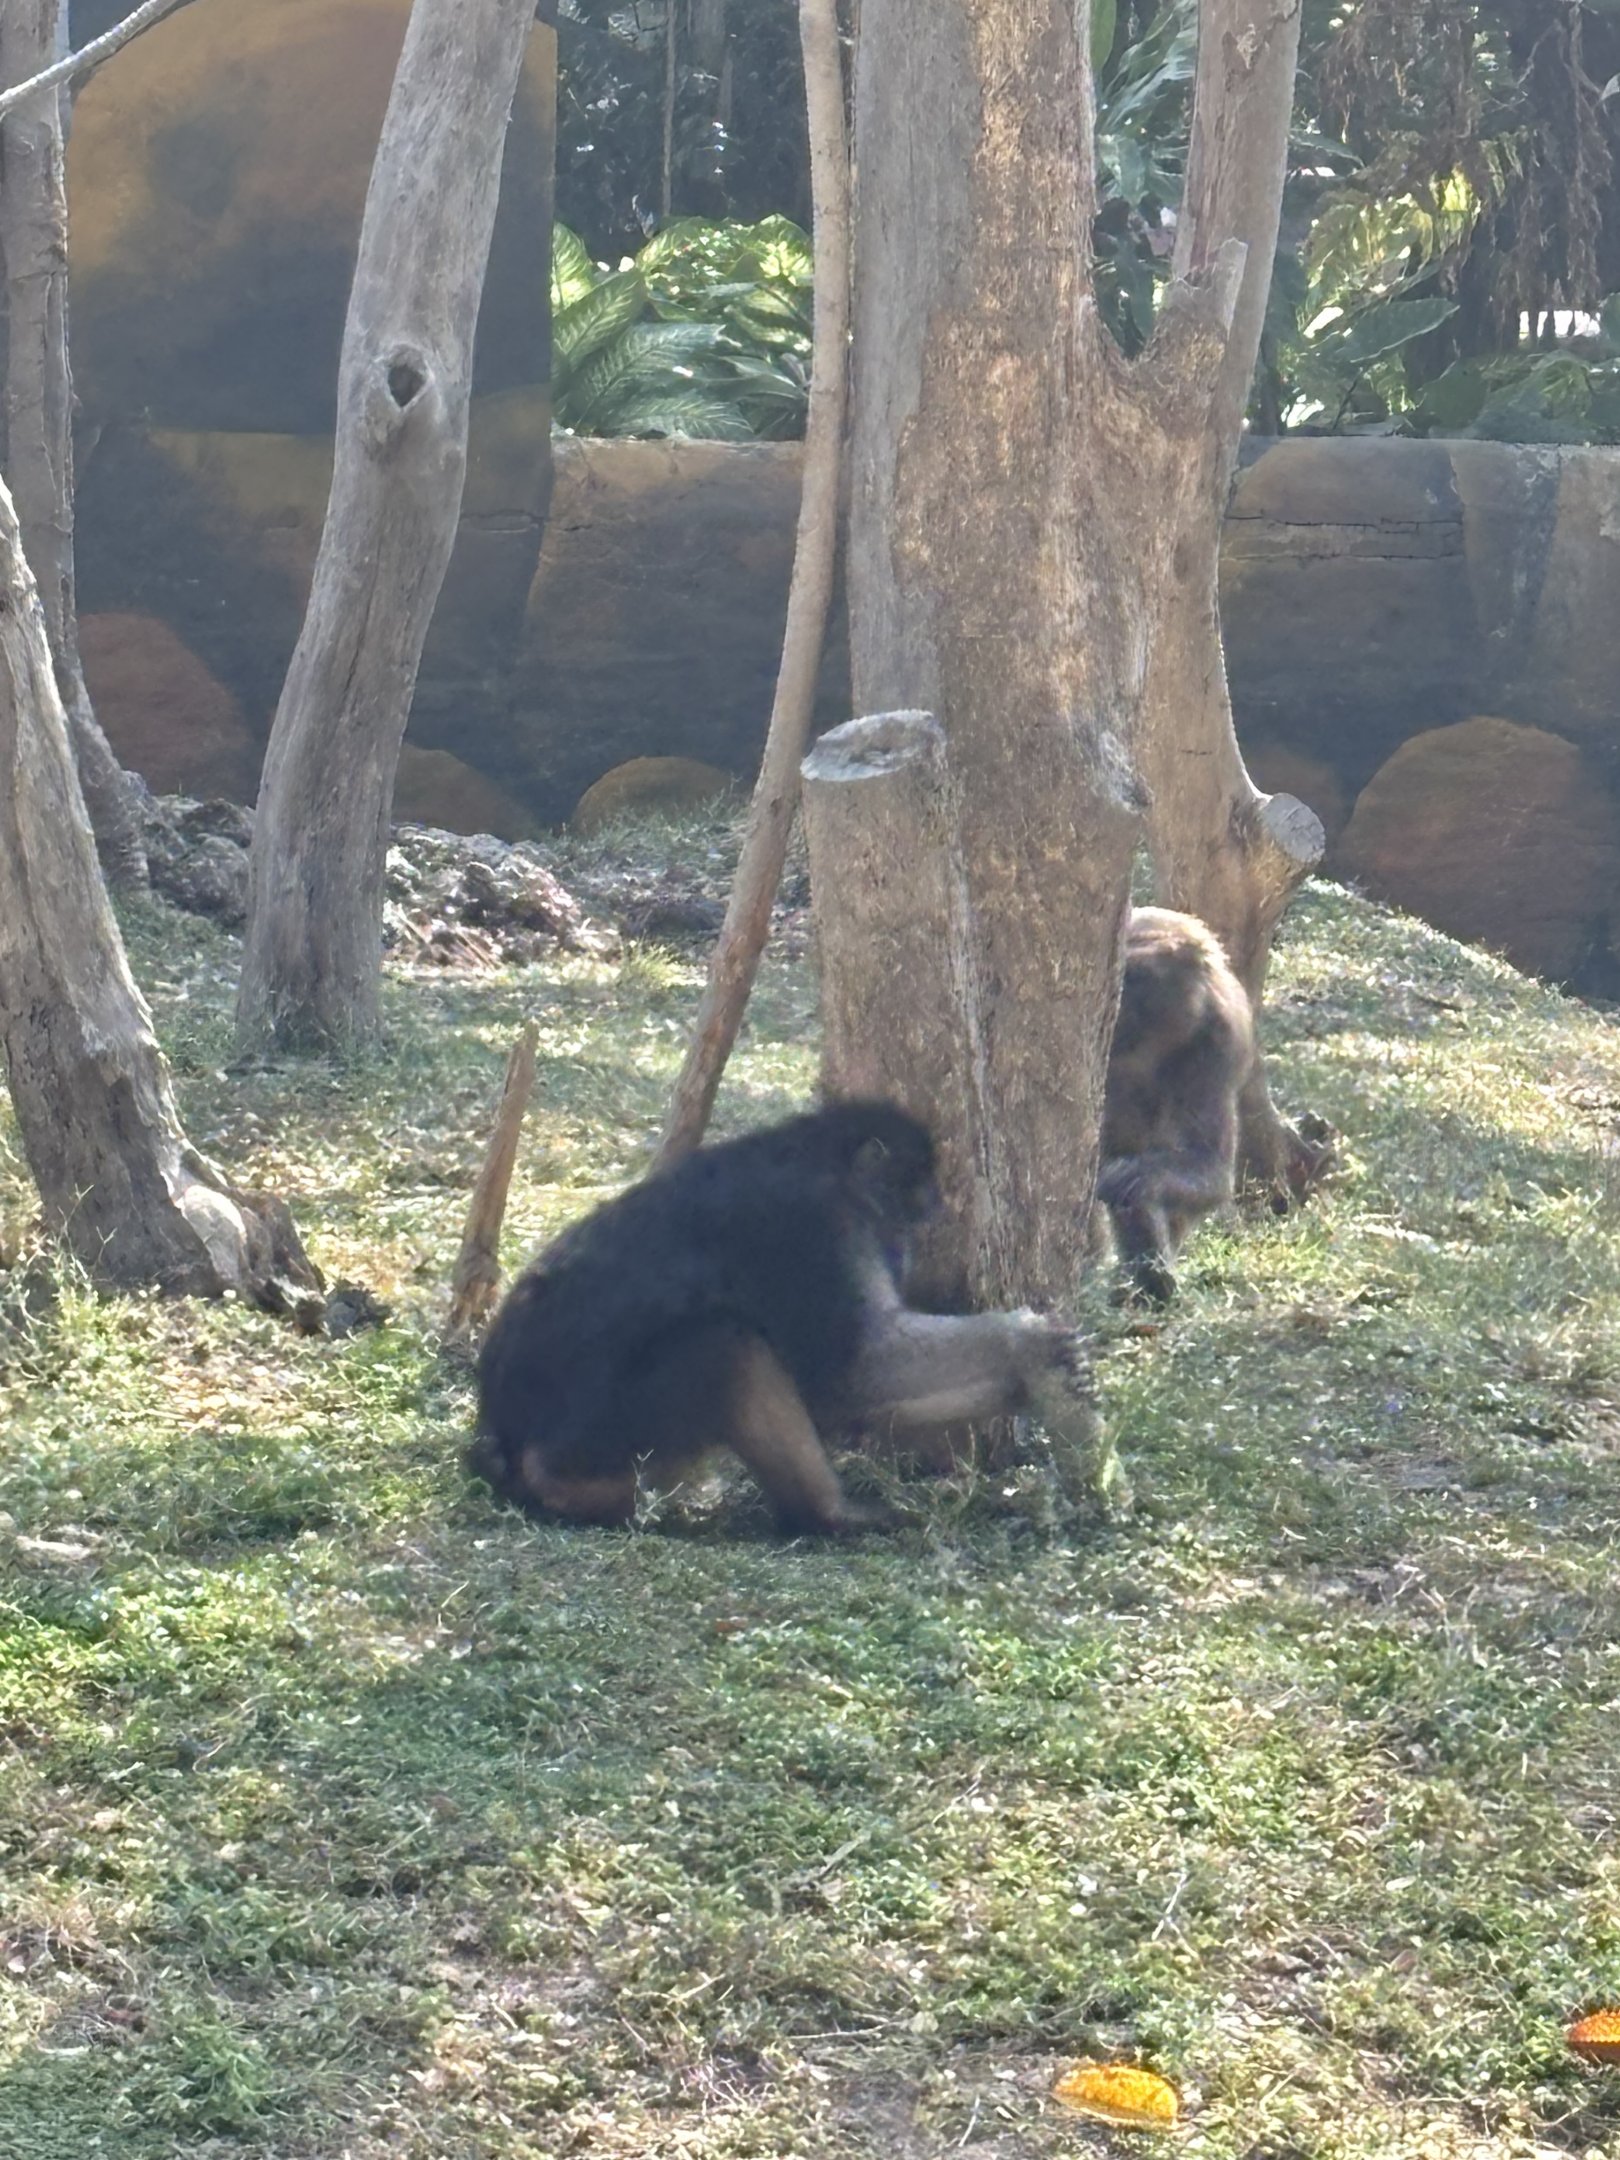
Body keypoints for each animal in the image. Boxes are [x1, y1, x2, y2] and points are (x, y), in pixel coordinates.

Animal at [470, 1100, 1092, 1537]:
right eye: (912, 1201)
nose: (924, 1225)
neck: (820, 1159)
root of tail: (498, 1427)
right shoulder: (814, 1225)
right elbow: (852, 1373)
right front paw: (1025, 1345)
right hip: (602, 1435)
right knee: (728, 1345)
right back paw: (828, 1514)